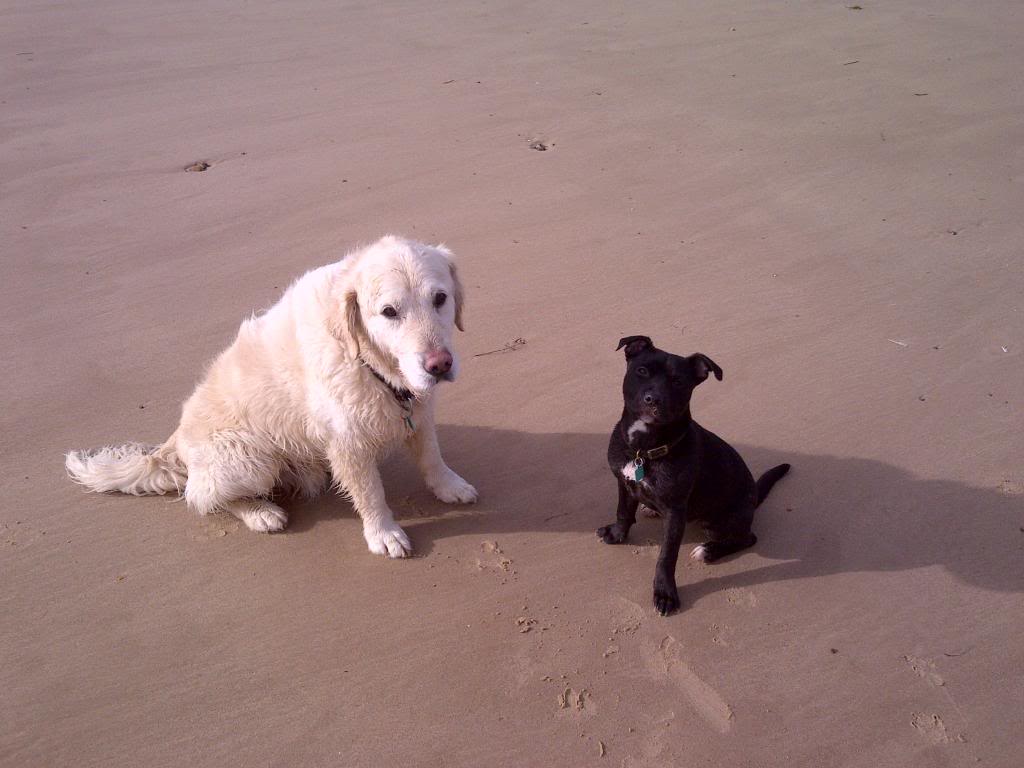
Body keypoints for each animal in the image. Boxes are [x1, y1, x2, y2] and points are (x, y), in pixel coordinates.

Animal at [68, 236, 475, 561]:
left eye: (440, 298)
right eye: (389, 311)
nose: (439, 365)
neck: (367, 361)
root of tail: (173, 443)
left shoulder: (417, 410)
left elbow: (432, 456)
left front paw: (449, 487)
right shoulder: (346, 442)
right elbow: (370, 493)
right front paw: (384, 535)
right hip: (249, 457)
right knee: (202, 497)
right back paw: (260, 513)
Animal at [598, 339, 786, 618]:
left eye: (678, 382)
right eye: (642, 371)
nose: (654, 400)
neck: (644, 450)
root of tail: (753, 498)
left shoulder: (676, 512)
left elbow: (666, 556)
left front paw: (665, 594)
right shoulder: (623, 482)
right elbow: (623, 511)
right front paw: (617, 534)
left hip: (719, 521)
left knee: (747, 538)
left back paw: (709, 551)